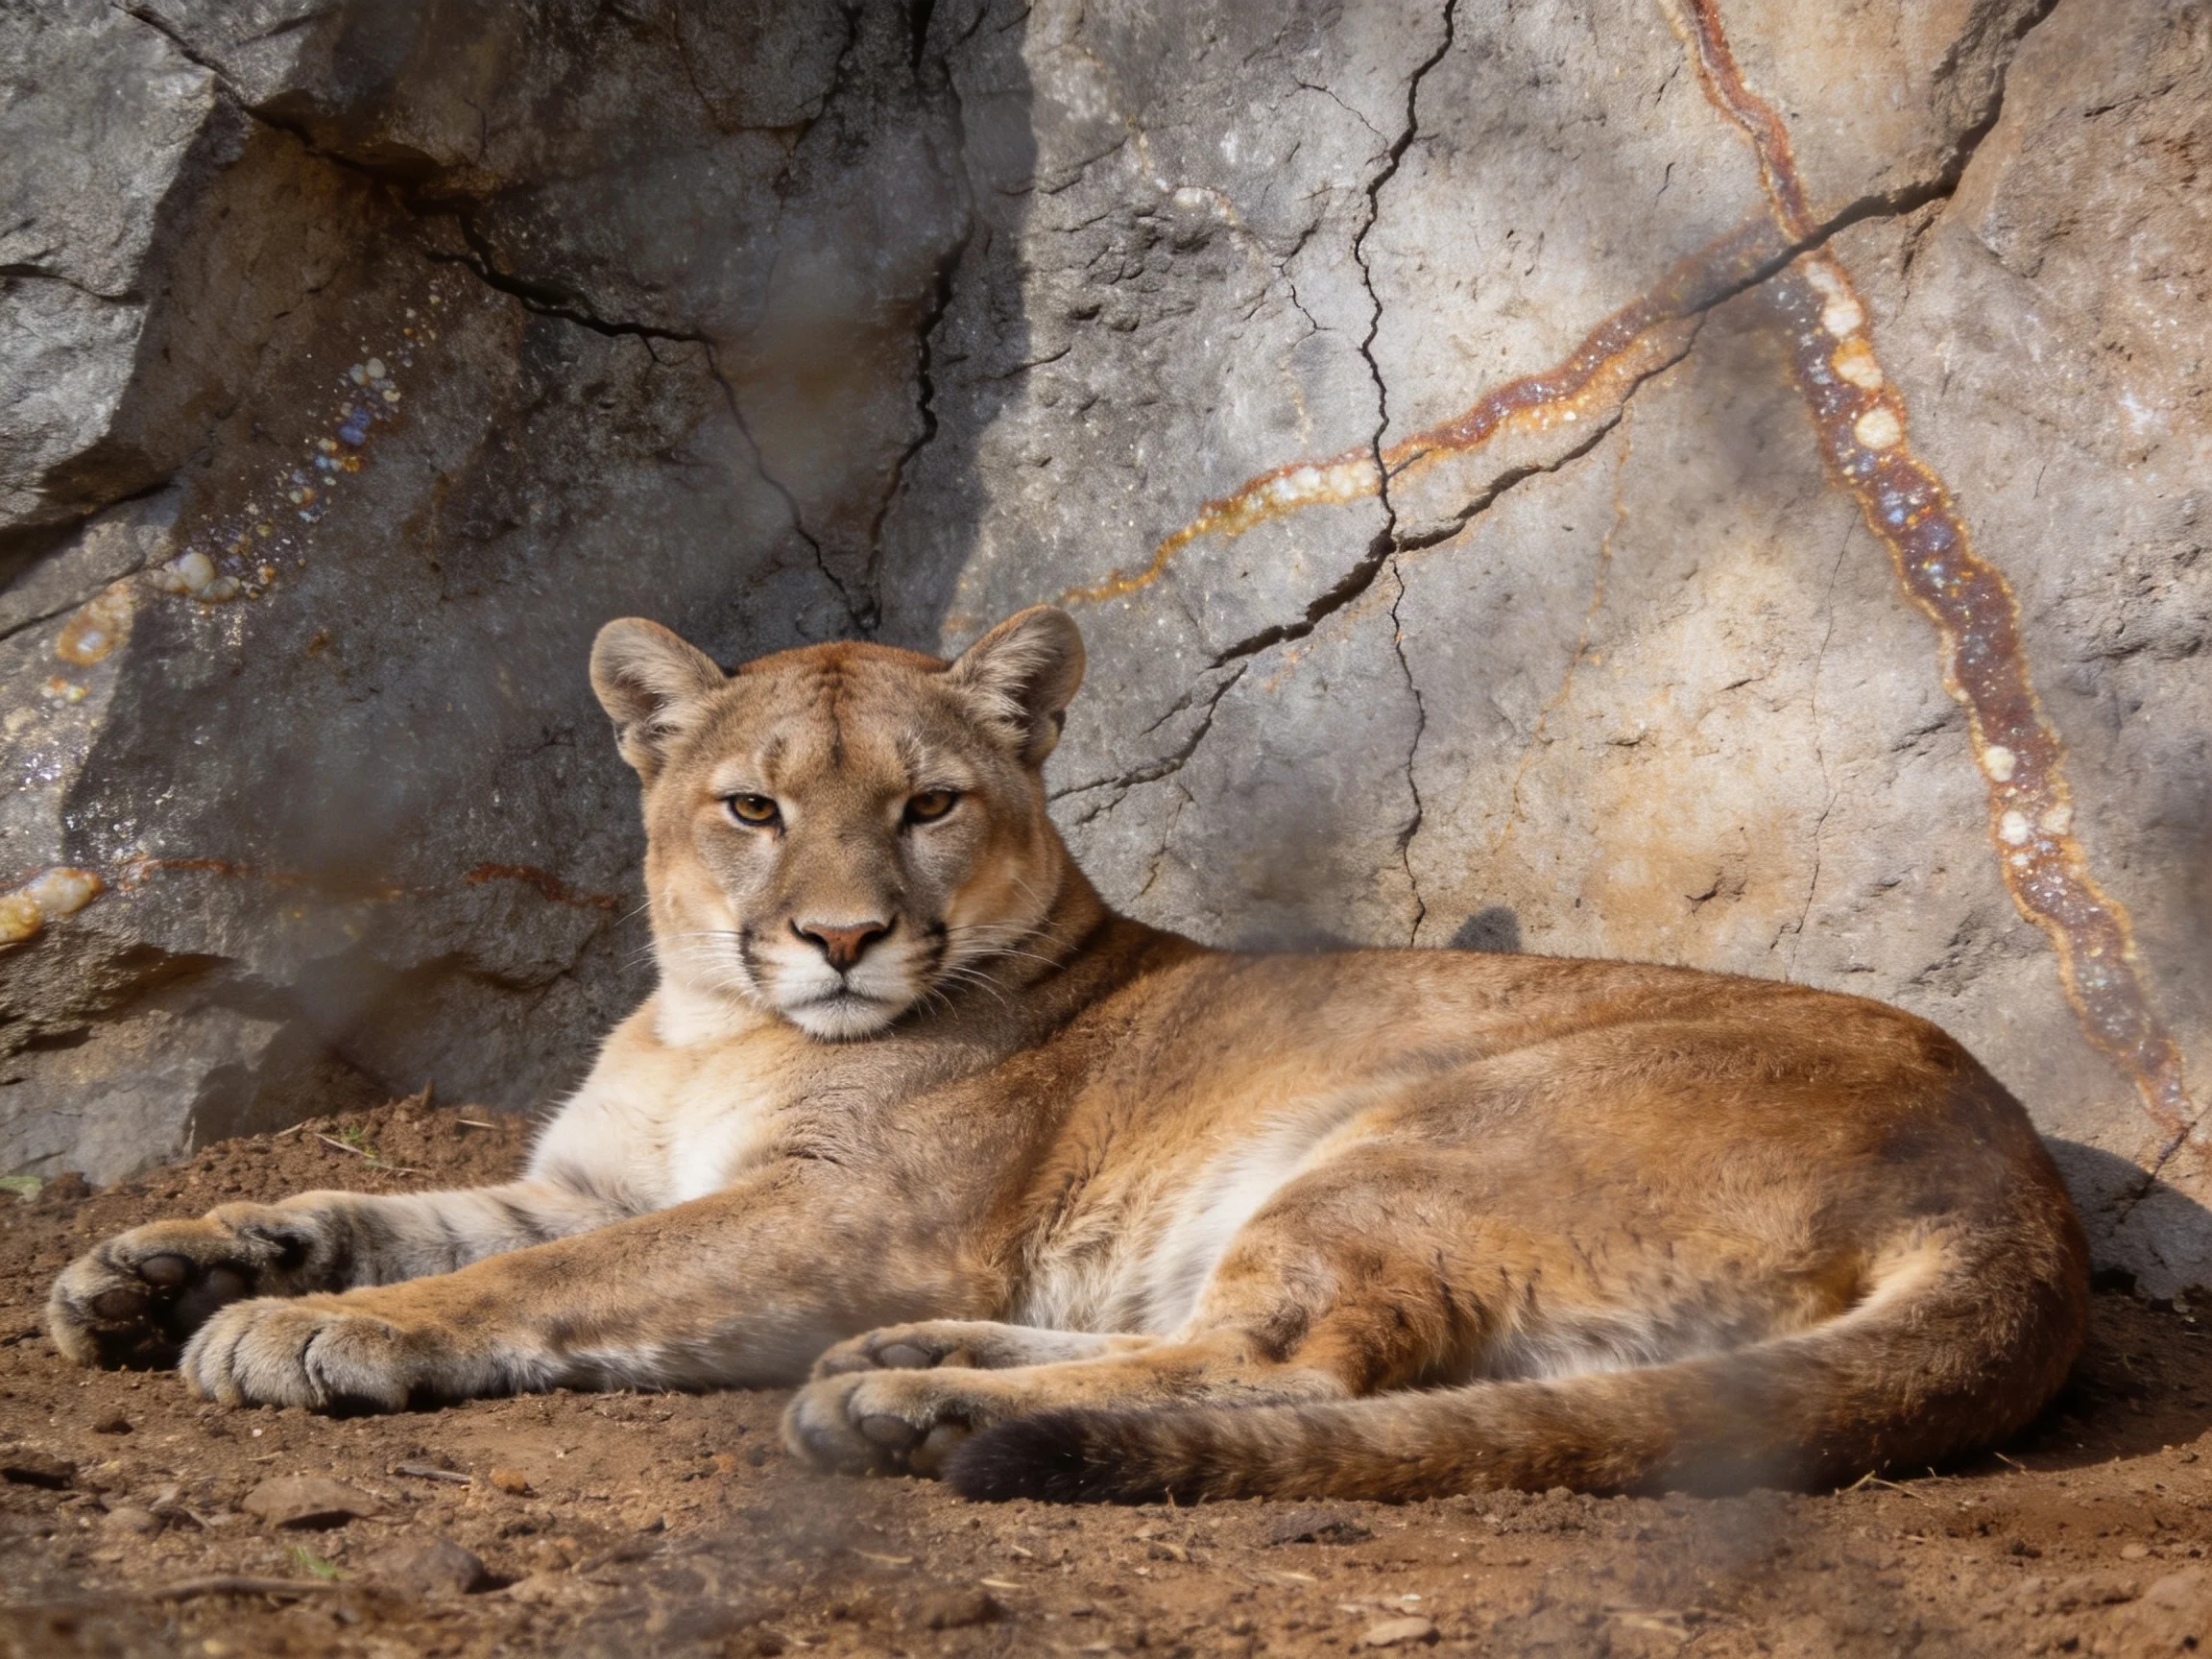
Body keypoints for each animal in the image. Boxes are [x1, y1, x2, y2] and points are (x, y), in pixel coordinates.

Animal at [47, 605, 2088, 1501]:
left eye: (928, 804)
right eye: (750, 806)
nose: (841, 937)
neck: (712, 1022)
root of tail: (2023, 1192)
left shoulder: (833, 1214)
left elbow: (532, 1283)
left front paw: (307, 1336)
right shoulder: (583, 1174)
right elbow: (385, 1212)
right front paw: (147, 1274)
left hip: (1418, 1132)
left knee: (1300, 1366)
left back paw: (916, 1409)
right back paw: (914, 1367)